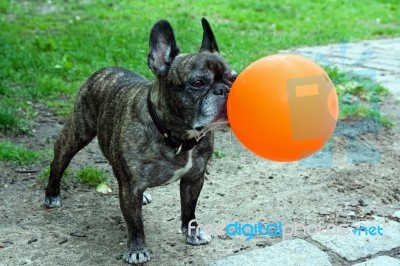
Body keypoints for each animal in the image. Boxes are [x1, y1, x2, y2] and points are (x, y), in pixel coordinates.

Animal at [44, 17, 238, 264]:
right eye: (197, 83)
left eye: (234, 78)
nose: (225, 89)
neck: (178, 137)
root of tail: (104, 70)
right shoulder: (131, 188)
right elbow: (135, 222)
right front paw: (137, 249)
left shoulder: (194, 177)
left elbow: (189, 209)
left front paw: (192, 233)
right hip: (76, 133)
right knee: (58, 163)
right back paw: (51, 195)